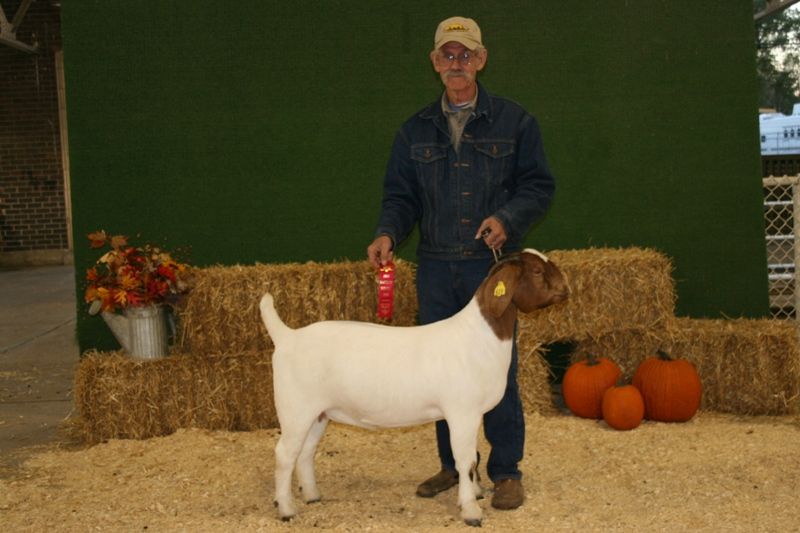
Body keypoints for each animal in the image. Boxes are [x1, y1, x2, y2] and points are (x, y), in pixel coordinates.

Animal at [258, 248, 568, 524]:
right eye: (537, 271)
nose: (565, 290)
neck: (480, 337)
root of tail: (287, 336)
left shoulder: (473, 414)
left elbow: (471, 460)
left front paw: (476, 493)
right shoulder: (462, 412)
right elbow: (465, 460)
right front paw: (470, 510)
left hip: (319, 413)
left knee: (305, 452)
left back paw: (312, 496)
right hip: (295, 409)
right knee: (284, 454)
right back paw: (286, 509)